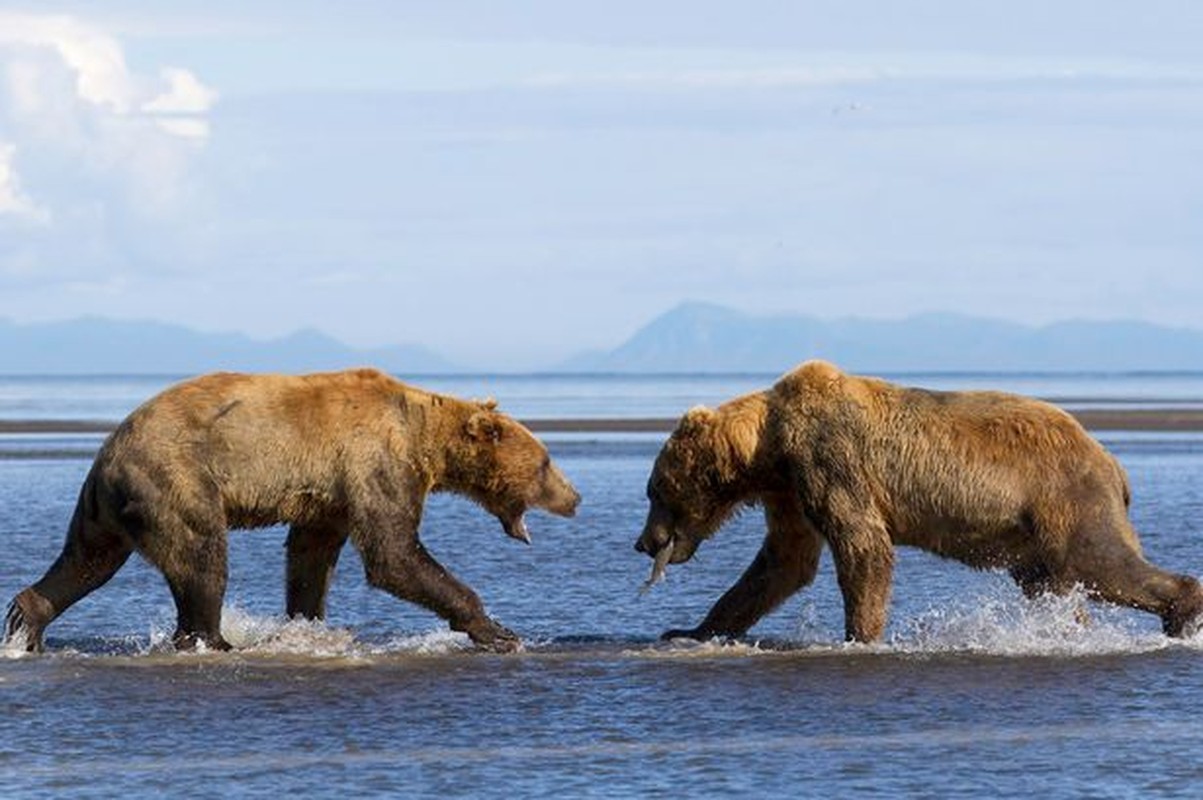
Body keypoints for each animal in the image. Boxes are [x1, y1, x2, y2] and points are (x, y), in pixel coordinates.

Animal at [2, 370, 579, 654]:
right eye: (546, 461)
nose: (575, 498)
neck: (422, 436)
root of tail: (109, 452)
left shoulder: (330, 493)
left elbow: (311, 555)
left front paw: (306, 622)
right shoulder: (375, 462)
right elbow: (394, 553)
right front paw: (497, 630)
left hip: (105, 506)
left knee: (87, 560)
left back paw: (26, 617)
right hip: (177, 480)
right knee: (202, 558)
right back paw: (214, 639)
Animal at [635, 360, 1203, 644]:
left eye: (655, 491)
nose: (643, 542)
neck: (767, 448)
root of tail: (1112, 460)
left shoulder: (828, 458)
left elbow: (863, 546)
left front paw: (859, 636)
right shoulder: (790, 490)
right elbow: (782, 563)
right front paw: (690, 628)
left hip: (1067, 499)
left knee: (1100, 561)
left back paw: (1183, 610)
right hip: (1031, 539)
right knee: (1053, 584)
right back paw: (1065, 629)